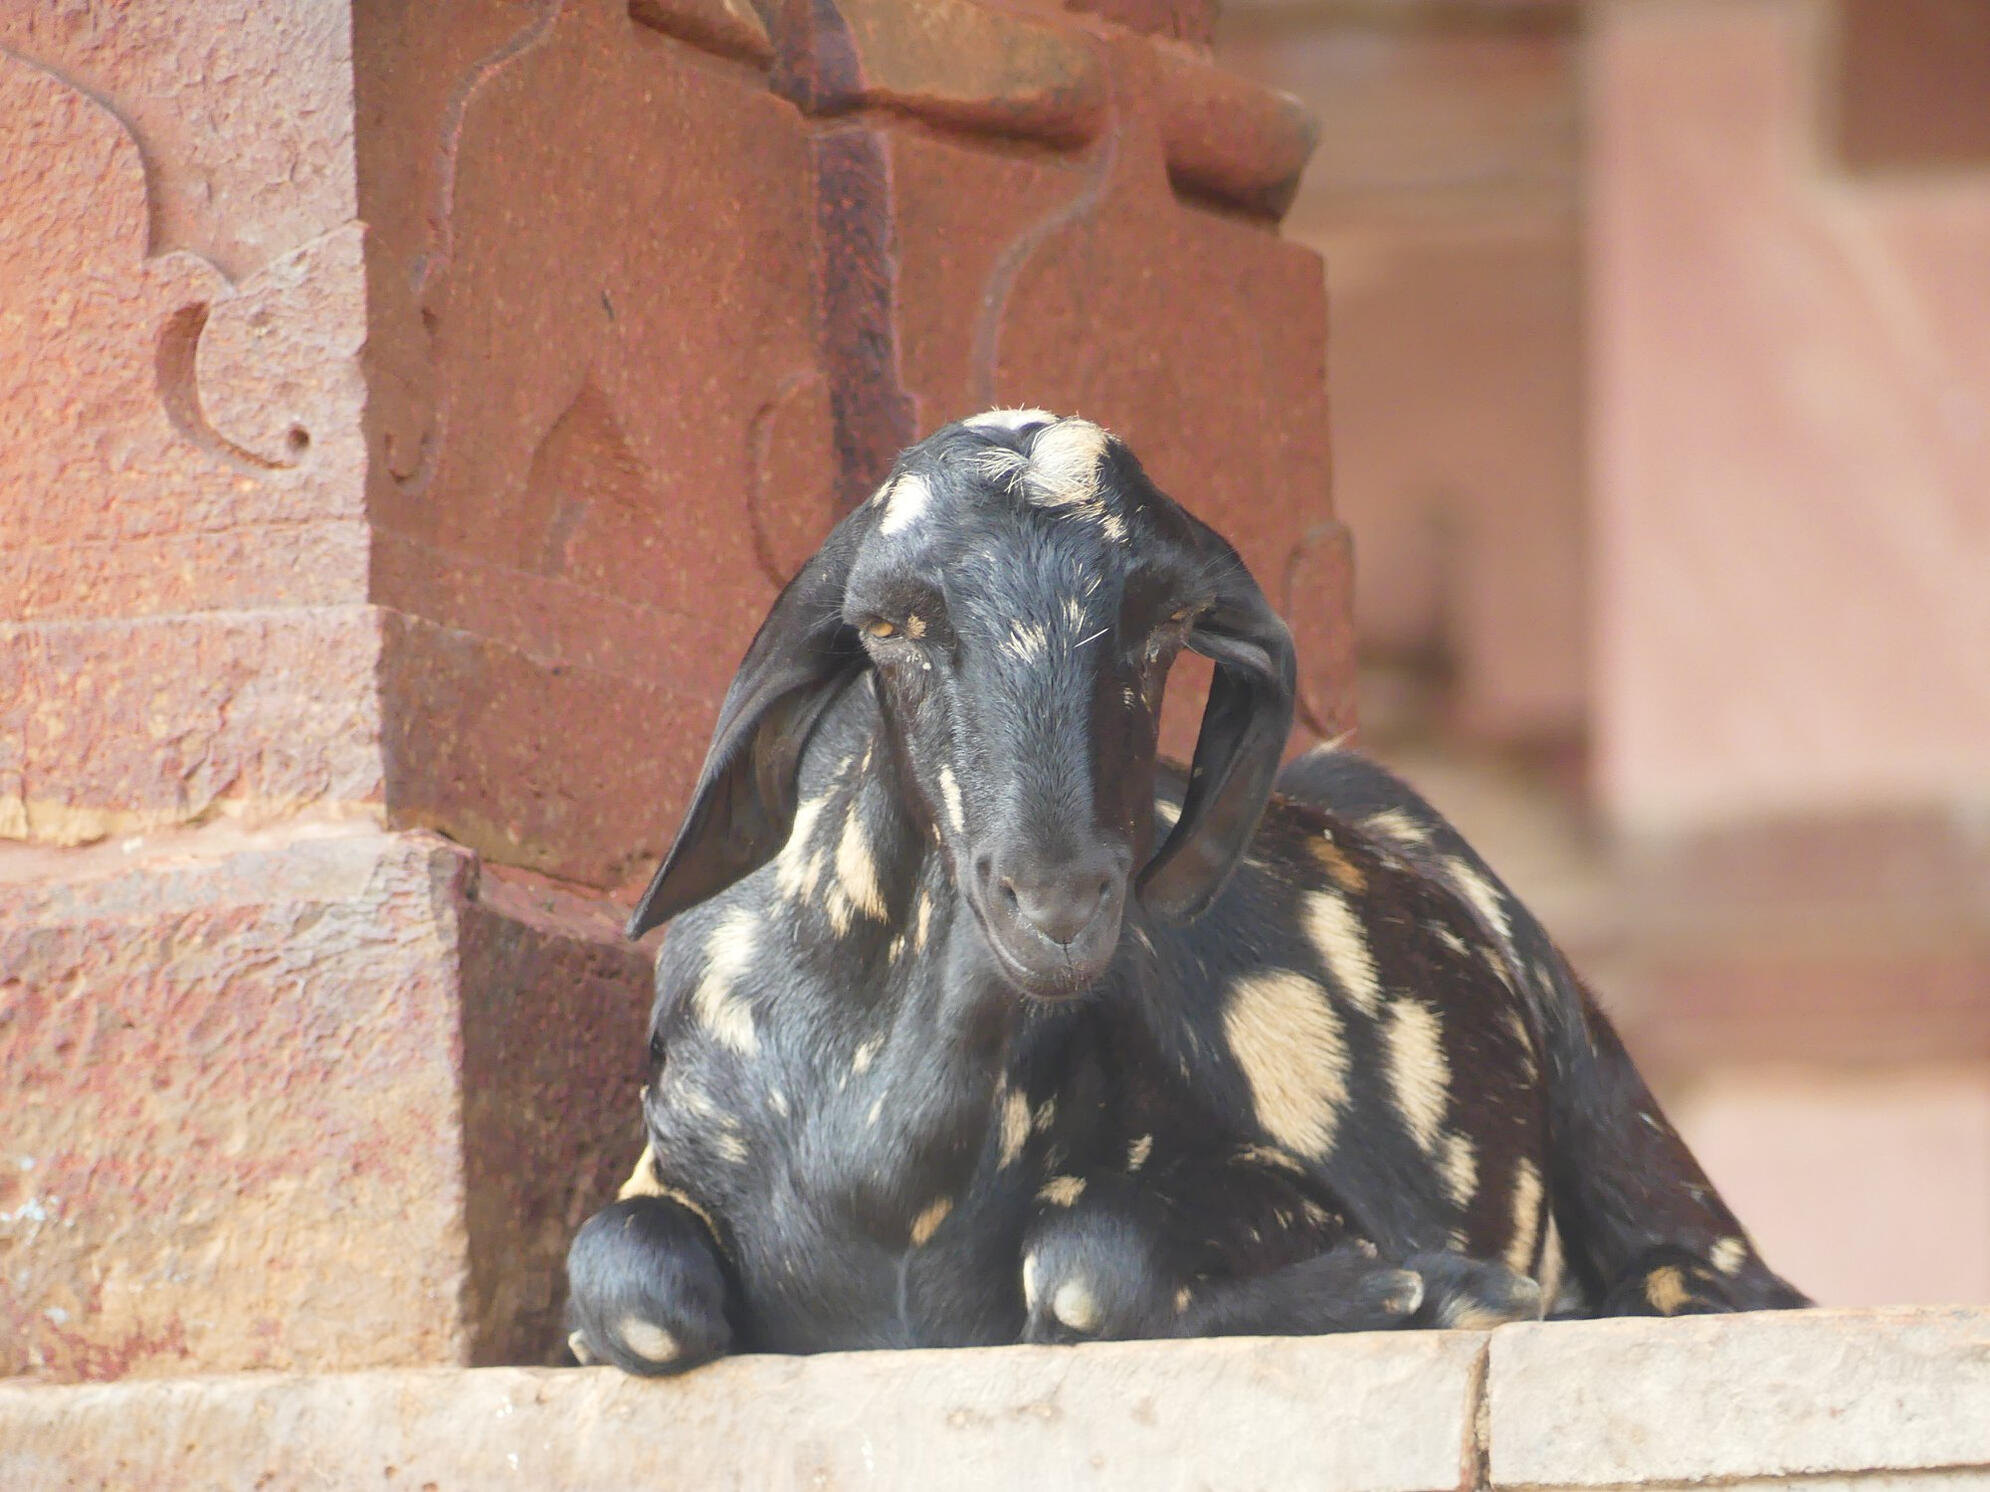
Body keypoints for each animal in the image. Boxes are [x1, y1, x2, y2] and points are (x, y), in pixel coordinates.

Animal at [565, 410, 1807, 1375]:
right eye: (886, 623)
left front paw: (1423, 1291)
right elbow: (627, 1284)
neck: (876, 1171)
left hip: (1620, 1112)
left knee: (1715, 1276)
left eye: (1164, 621)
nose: (1058, 899)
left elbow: (1084, 1256)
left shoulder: (1277, 1182)